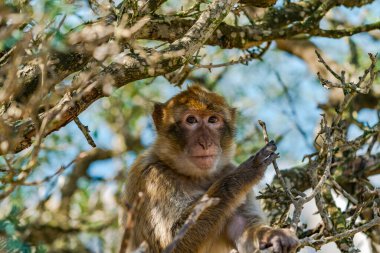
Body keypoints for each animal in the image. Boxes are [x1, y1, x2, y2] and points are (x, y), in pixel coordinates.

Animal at [120, 85, 298, 253]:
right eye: (191, 120)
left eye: (212, 120)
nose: (206, 143)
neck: (196, 176)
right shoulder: (152, 177)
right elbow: (170, 242)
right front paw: (243, 175)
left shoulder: (226, 168)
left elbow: (243, 229)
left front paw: (274, 234)